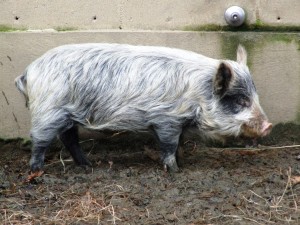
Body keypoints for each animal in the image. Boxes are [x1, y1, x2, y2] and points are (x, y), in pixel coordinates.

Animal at [14, 43, 272, 172]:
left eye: (255, 96)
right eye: (240, 101)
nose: (268, 125)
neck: (198, 93)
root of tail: (29, 71)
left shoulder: (174, 121)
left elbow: (178, 143)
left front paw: (182, 161)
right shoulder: (167, 119)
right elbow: (169, 145)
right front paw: (175, 170)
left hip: (67, 114)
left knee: (69, 138)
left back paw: (88, 166)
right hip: (49, 111)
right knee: (40, 140)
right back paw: (36, 173)